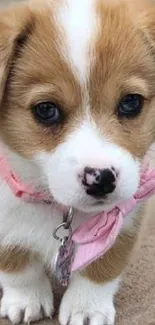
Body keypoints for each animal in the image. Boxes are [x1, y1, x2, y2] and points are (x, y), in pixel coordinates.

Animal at [0, 0, 155, 322]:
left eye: (131, 102)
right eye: (46, 109)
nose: (101, 179)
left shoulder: (128, 219)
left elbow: (101, 267)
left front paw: (87, 307)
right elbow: (16, 263)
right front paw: (26, 299)